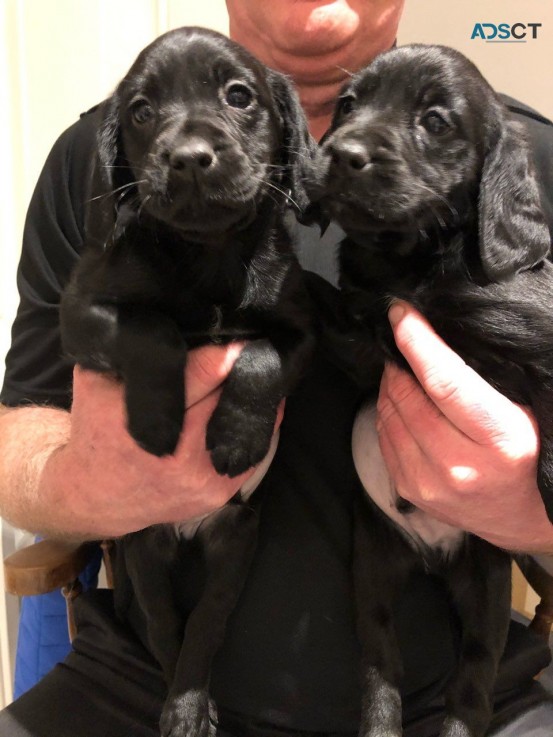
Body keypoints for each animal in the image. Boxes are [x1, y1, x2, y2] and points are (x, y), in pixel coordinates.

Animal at [60, 25, 314, 736]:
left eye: (239, 96)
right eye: (142, 111)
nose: (189, 159)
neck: (208, 255)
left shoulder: (302, 331)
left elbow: (260, 355)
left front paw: (235, 439)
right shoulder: (82, 312)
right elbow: (153, 330)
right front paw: (156, 421)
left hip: (235, 546)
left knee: (204, 627)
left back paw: (190, 703)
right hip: (142, 550)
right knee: (166, 628)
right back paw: (180, 704)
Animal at [308, 44, 548, 736]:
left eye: (436, 122)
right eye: (347, 104)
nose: (340, 153)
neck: (413, 263)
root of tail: (433, 555)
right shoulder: (366, 340)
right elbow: (324, 302)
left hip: (486, 584)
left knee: (473, 679)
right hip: (372, 574)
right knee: (382, 666)